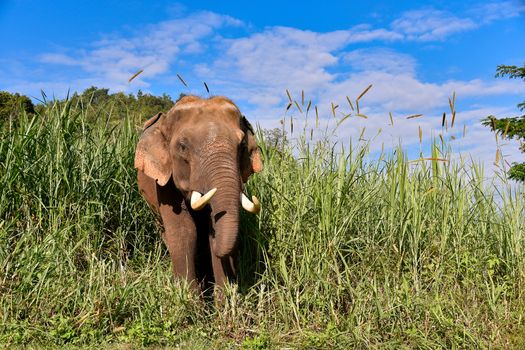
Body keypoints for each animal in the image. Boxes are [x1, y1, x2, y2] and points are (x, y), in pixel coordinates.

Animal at [133, 94, 260, 292]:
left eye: (242, 145)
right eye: (183, 146)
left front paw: (224, 299)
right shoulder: (166, 182)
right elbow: (185, 232)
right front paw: (188, 297)